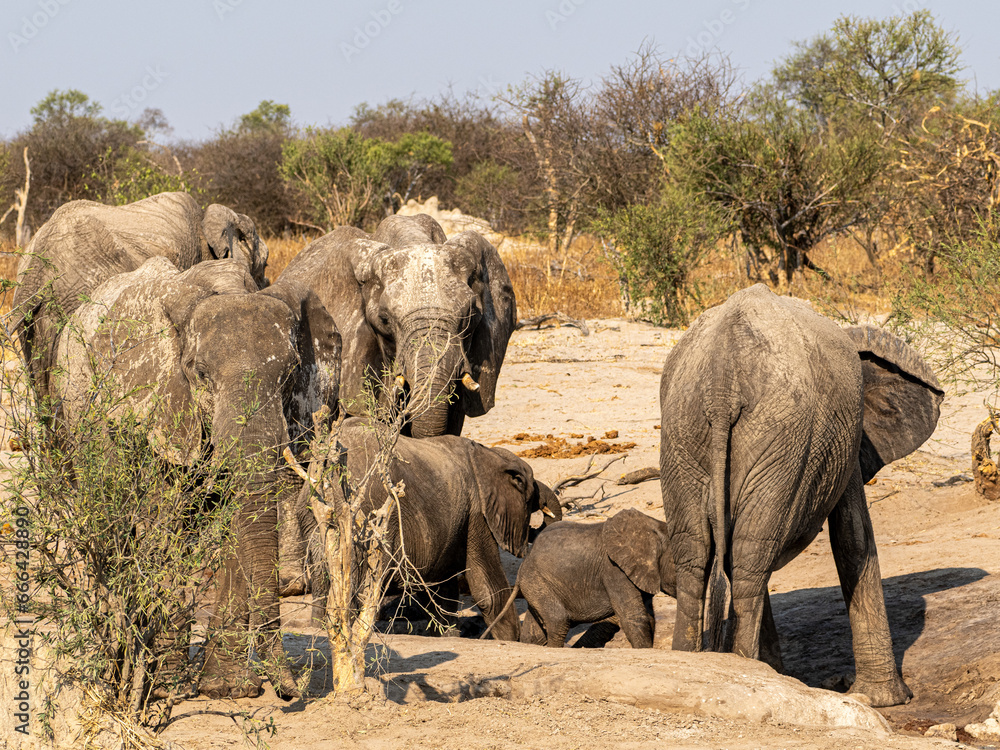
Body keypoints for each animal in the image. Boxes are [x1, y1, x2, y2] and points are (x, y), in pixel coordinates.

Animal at [51, 255, 341, 699]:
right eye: (199, 372)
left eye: (291, 373)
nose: (294, 688)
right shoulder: (159, 405)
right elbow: (162, 524)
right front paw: (165, 687)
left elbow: (235, 524)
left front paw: (227, 690)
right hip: (75, 413)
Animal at [299, 417, 561, 641]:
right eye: (529, 493)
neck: (489, 454)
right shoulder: (476, 514)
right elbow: (488, 588)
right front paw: (511, 640)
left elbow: (442, 587)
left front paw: (449, 635)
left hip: (313, 512)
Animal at [483, 509, 675, 648]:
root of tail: (524, 564)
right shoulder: (614, 570)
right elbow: (634, 616)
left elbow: (649, 616)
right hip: (537, 581)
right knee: (559, 622)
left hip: (535, 585)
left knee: (535, 633)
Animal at [658, 283, 943, 707]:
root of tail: (722, 379)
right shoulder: (848, 435)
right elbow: (854, 538)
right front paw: (886, 701)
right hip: (783, 435)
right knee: (749, 557)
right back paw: (750, 672)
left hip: (684, 428)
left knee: (703, 554)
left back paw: (707, 664)